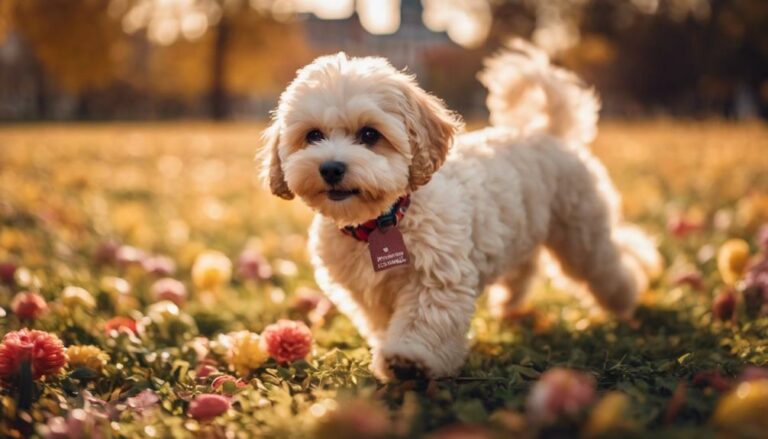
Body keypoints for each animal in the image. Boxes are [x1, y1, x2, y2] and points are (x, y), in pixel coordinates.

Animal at [262, 39, 660, 380]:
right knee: (526, 266)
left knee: (611, 262)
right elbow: (382, 322)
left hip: (581, 233)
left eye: (370, 135)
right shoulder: (365, 293)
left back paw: (626, 298)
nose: (331, 168)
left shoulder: (437, 278)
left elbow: (423, 321)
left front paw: (408, 358)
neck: (380, 223)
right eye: (313, 136)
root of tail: (547, 131)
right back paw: (511, 303)